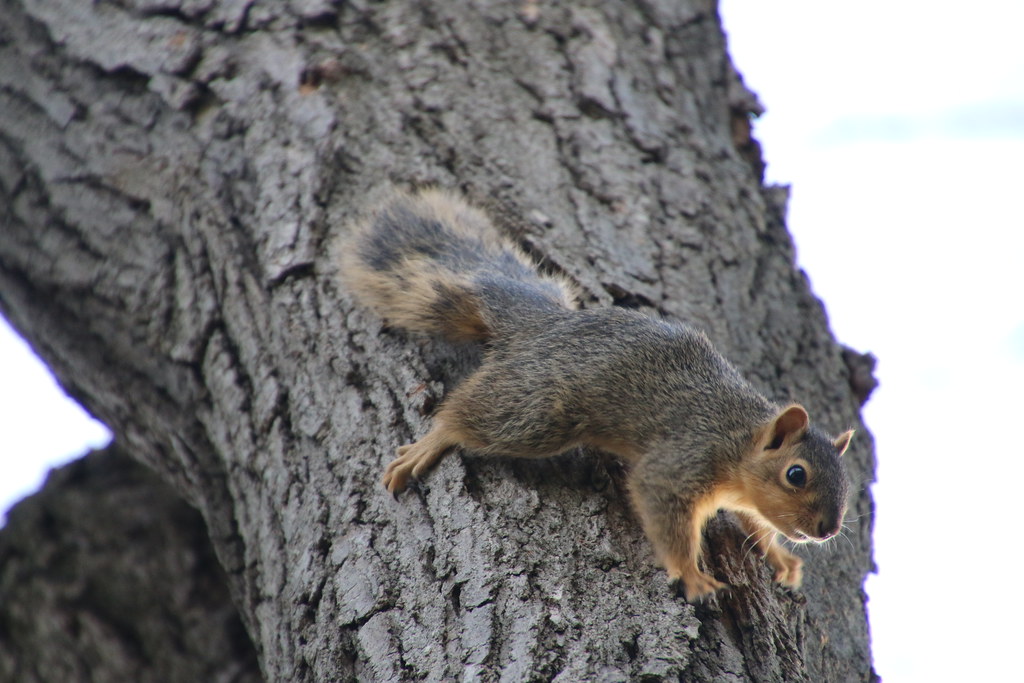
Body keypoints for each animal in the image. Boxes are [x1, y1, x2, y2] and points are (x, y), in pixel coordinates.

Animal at [340, 189, 854, 602]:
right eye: (795, 474)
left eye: (846, 482)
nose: (827, 530)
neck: (740, 438)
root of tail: (545, 324)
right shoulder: (681, 460)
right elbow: (662, 509)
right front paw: (692, 575)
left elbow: (756, 526)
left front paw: (779, 557)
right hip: (536, 411)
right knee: (467, 416)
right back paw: (432, 441)